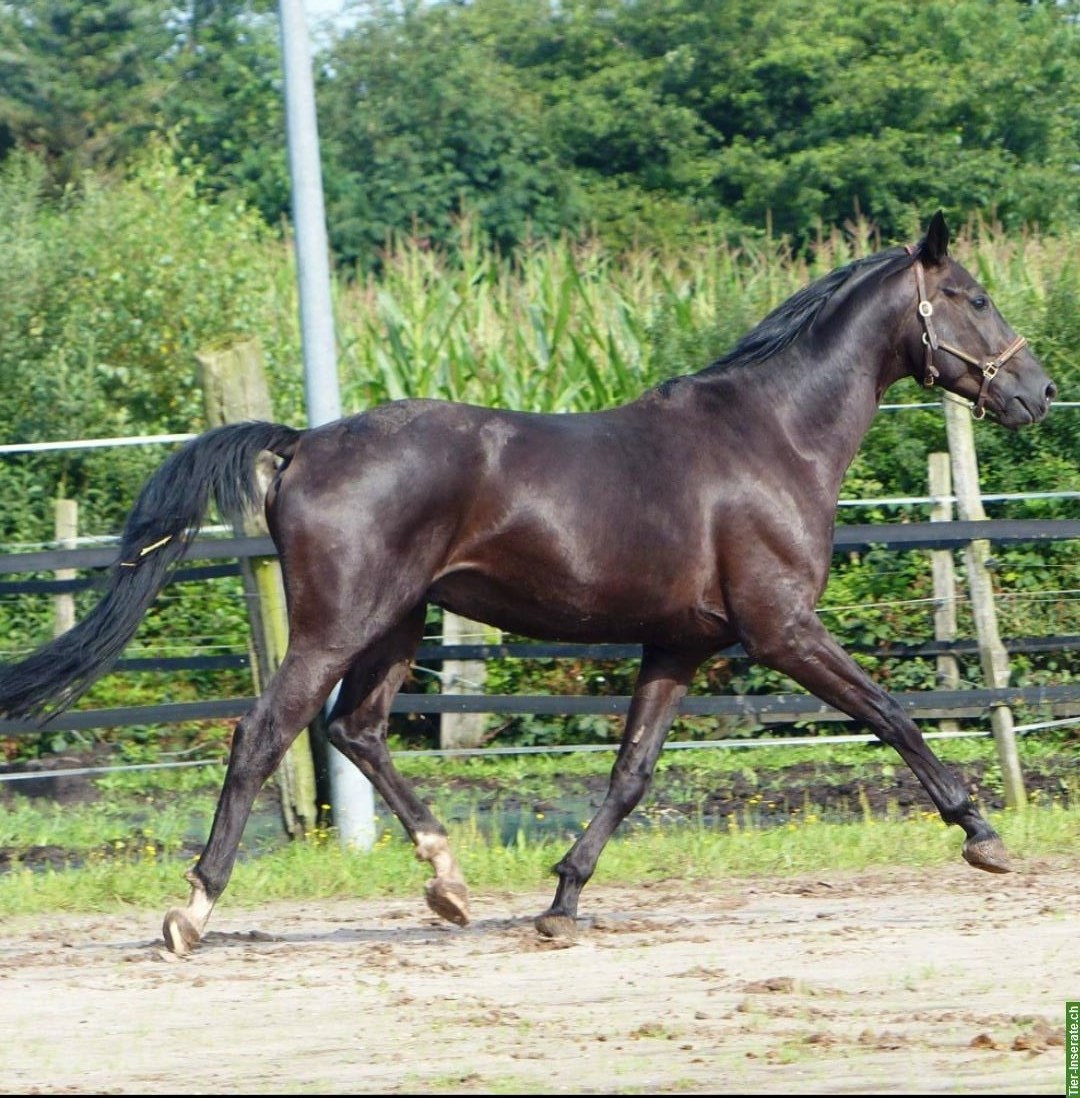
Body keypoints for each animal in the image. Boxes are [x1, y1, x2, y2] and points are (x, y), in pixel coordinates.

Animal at [0, 211, 1053, 953]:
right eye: (973, 294)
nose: (1037, 391)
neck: (771, 436)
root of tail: (302, 445)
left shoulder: (679, 643)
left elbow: (630, 774)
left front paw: (562, 898)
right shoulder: (782, 628)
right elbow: (893, 713)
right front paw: (981, 832)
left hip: (398, 623)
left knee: (356, 730)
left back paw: (448, 882)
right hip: (340, 623)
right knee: (265, 733)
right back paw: (193, 912)